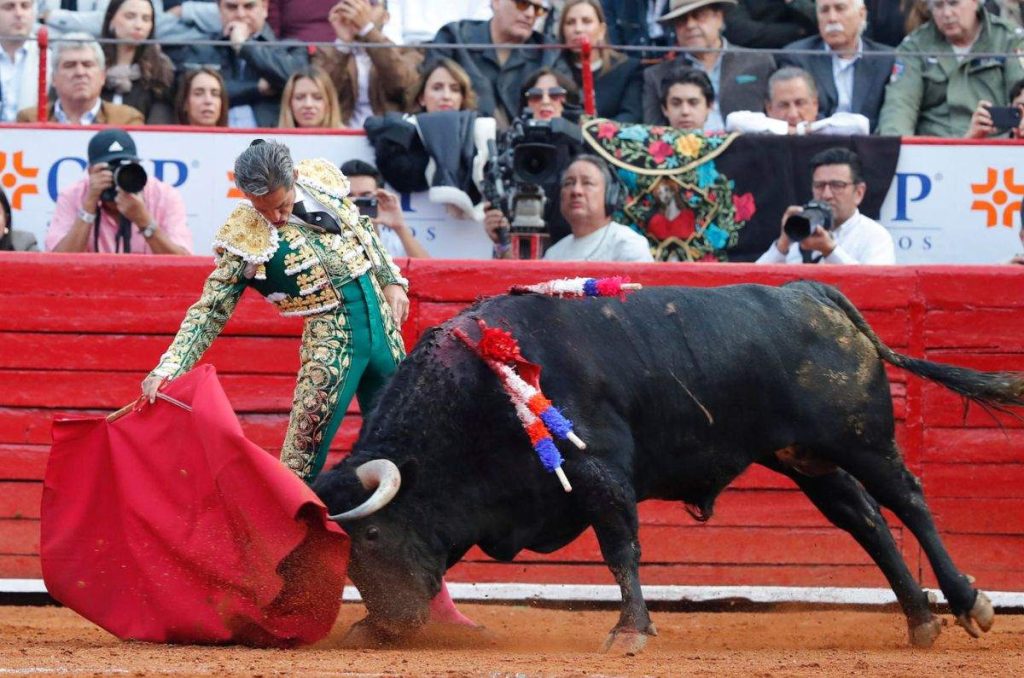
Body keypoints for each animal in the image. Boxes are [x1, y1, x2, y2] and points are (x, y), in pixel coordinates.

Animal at [313, 282, 1024, 655]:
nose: (390, 626)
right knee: (867, 520)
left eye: (370, 533)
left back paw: (968, 603)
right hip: (807, 460)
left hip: (862, 441)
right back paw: (920, 620)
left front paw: (630, 632)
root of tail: (812, 293)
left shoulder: (598, 468)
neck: (477, 392)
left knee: (908, 501)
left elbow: (619, 547)